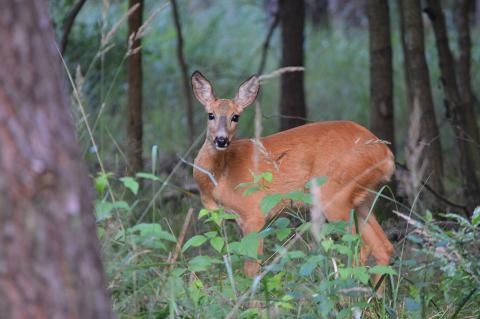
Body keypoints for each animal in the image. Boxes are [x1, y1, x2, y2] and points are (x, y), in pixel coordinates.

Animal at [190, 71, 394, 288]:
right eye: (210, 114)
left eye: (235, 116)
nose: (221, 140)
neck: (221, 177)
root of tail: (386, 153)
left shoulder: (254, 213)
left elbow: (252, 268)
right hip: (363, 199)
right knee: (383, 246)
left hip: (335, 195)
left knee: (356, 248)